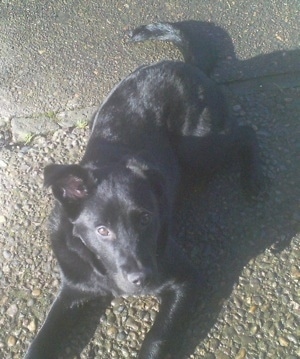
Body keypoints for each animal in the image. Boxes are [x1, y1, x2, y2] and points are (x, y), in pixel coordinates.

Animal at [24, 21, 264, 358]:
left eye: (146, 219)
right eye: (102, 230)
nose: (144, 278)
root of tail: (187, 66)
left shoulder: (184, 279)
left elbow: (157, 338)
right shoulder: (72, 291)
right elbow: (42, 341)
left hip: (199, 151)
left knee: (246, 133)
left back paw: (254, 180)